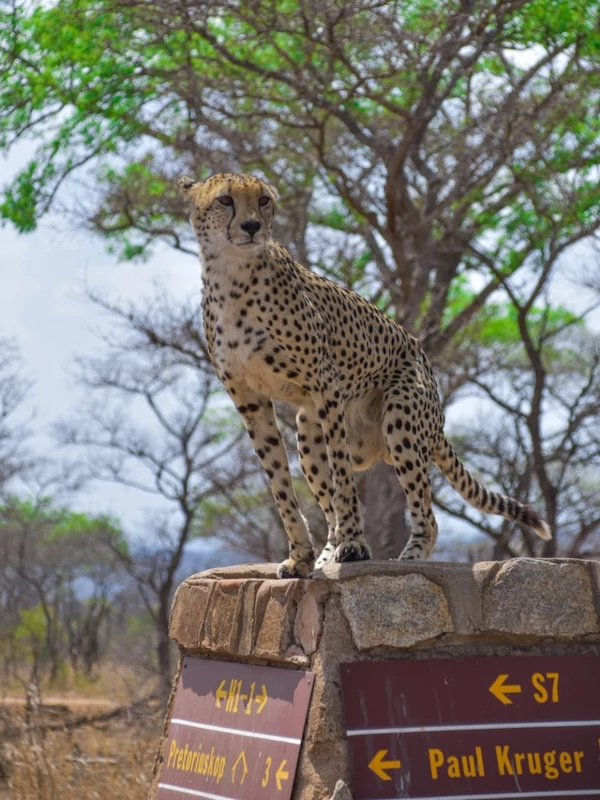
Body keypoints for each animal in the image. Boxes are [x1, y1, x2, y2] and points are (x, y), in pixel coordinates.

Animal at [179, 172, 551, 579]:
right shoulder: (250, 401)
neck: (231, 271)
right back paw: (327, 554)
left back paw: (407, 560)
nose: (251, 226)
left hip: (402, 417)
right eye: (225, 200)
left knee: (426, 515)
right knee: (329, 501)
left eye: (263, 200)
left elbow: (343, 479)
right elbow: (280, 485)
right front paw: (301, 557)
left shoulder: (326, 387)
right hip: (307, 431)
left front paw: (355, 545)